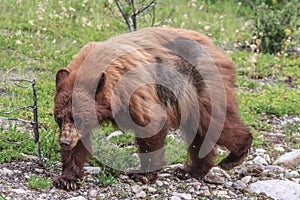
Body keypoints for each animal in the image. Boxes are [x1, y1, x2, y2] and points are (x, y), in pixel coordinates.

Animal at [52, 27, 252, 191]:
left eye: (78, 118)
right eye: (59, 118)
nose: (64, 142)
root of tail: (217, 49)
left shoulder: (133, 89)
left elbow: (150, 124)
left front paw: (143, 174)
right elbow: (79, 144)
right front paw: (67, 179)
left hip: (201, 86)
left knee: (216, 122)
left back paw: (234, 156)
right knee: (199, 132)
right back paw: (191, 170)